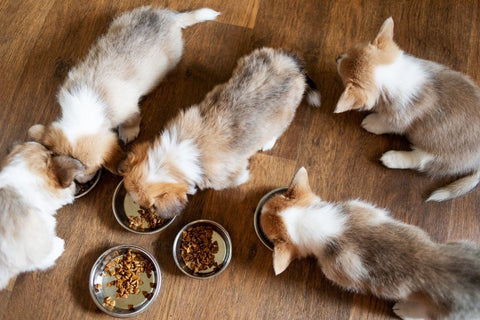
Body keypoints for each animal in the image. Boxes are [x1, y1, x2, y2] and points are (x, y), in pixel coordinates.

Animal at [120, 47, 322, 218]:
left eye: (149, 206)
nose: (135, 205)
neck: (172, 158)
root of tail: (291, 62)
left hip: (285, 116)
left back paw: (268, 142)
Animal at [336, 16, 480, 200]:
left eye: (342, 76)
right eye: (350, 49)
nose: (337, 57)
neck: (393, 75)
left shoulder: (399, 120)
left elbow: (385, 123)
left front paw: (372, 122)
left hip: (437, 156)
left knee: (420, 161)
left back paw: (392, 158)